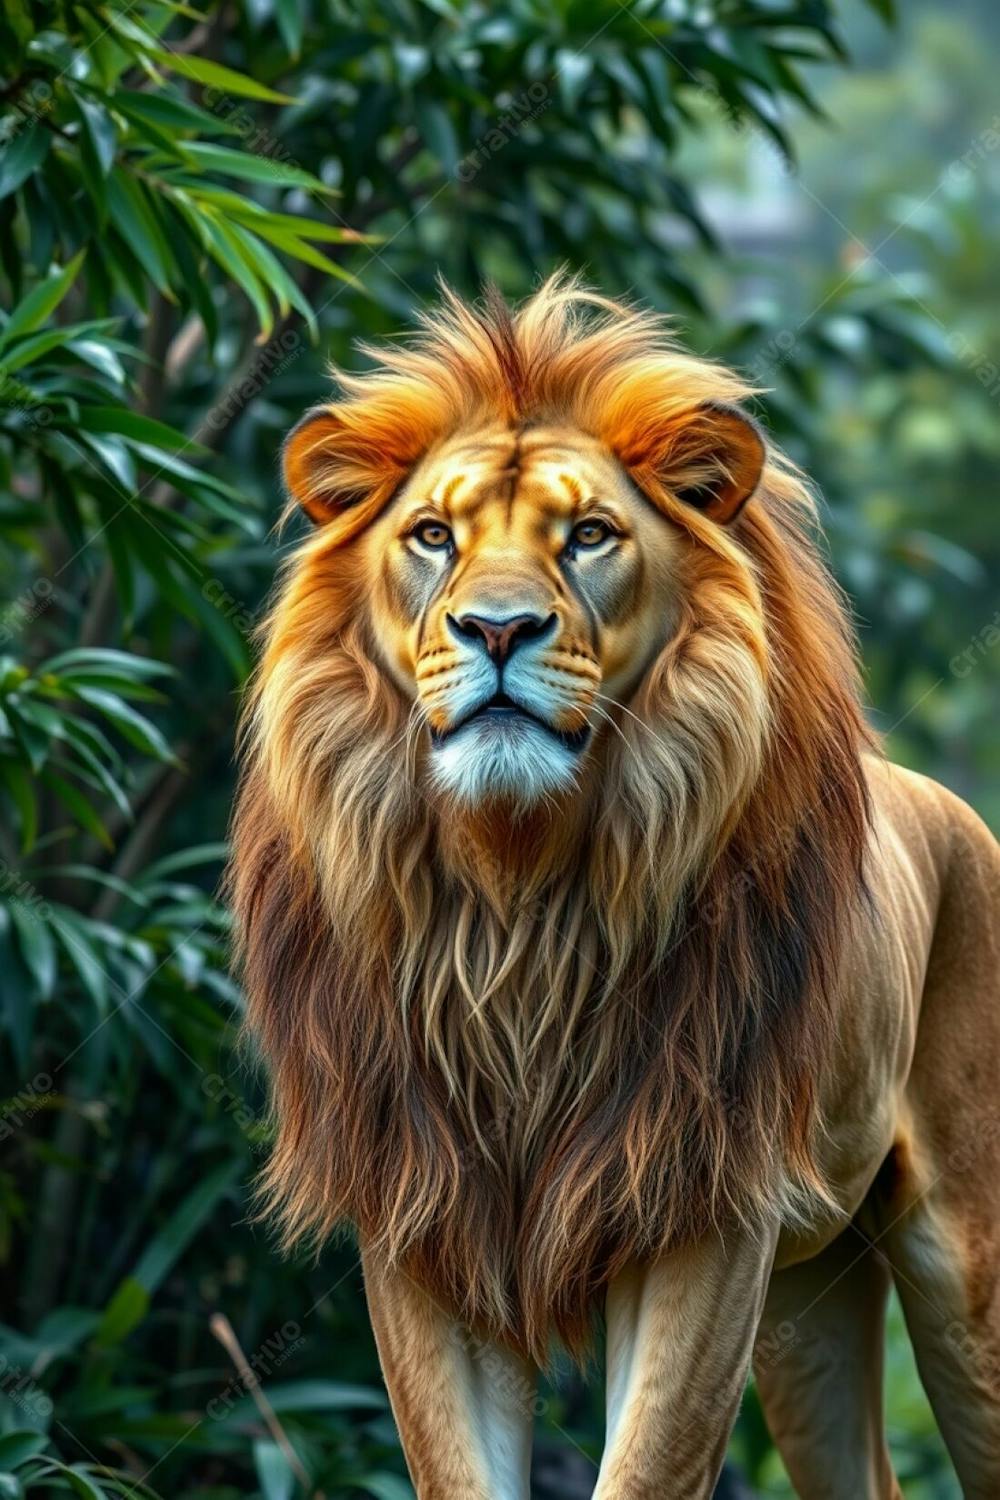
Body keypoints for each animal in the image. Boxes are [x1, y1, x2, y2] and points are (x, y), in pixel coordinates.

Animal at [231, 274, 1000, 1499]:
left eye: (588, 535)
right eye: (433, 536)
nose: (497, 628)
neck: (516, 906)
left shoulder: (704, 1215)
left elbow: (646, 1467)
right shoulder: (421, 1220)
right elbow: (454, 1469)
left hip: (965, 1268)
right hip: (811, 1302)